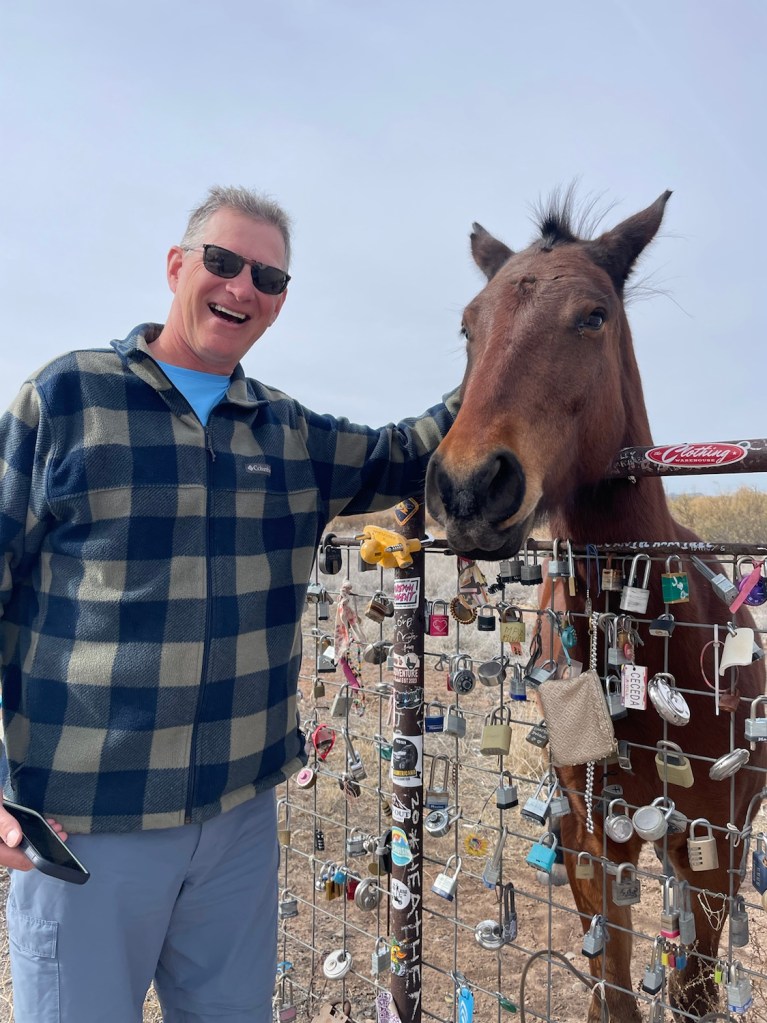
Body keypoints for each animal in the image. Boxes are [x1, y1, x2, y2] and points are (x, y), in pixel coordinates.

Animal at [425, 191, 766, 1021]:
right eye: (468, 325)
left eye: (592, 315)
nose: (469, 487)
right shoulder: (591, 847)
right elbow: (611, 990)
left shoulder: (711, 852)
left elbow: (692, 990)